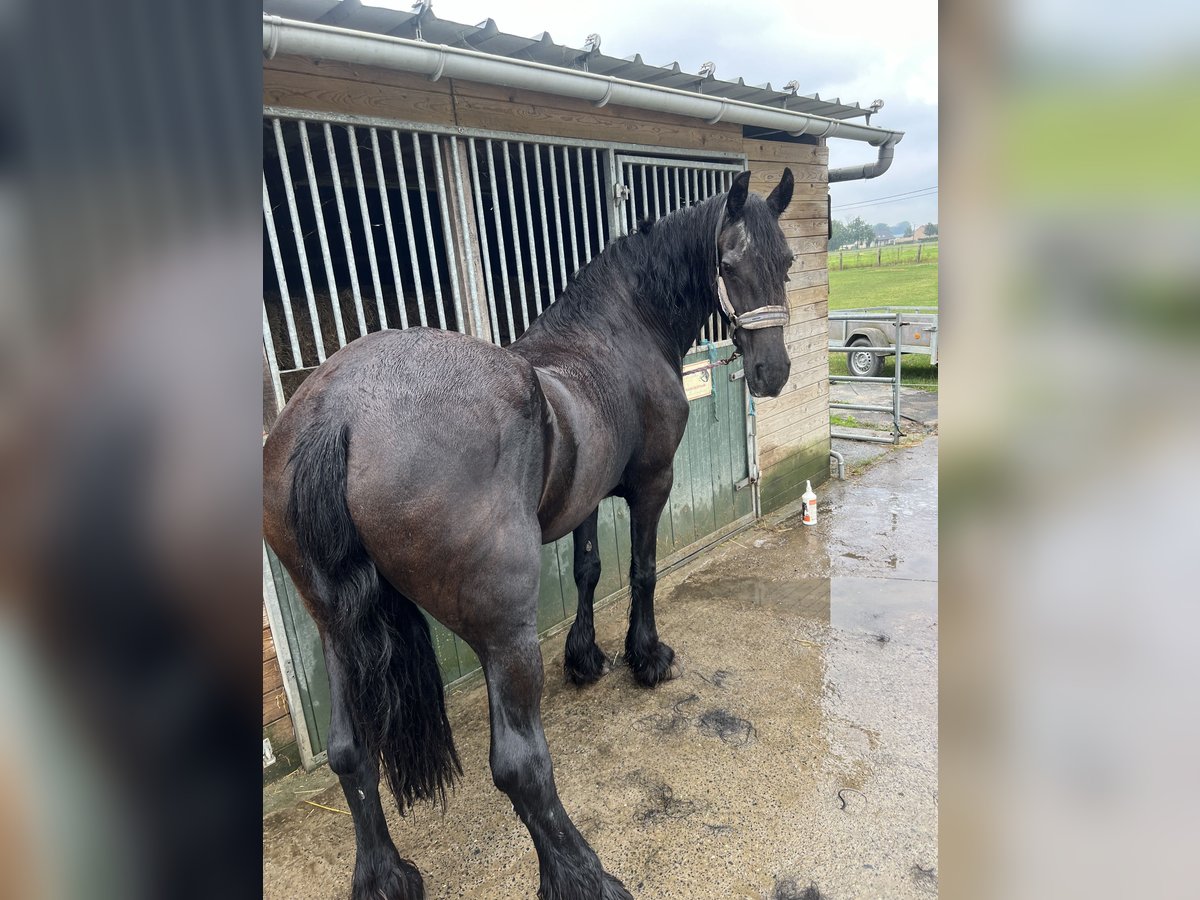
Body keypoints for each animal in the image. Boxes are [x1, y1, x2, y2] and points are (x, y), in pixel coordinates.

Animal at [267, 170, 801, 900]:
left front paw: (585, 659)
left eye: (788, 262)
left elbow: (587, 571)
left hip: (335, 628)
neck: (616, 335)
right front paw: (646, 657)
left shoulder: (584, 502)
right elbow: (640, 571)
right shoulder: (652, 485)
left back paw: (385, 876)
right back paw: (585, 876)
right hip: (503, 634)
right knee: (520, 765)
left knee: (351, 751)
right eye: (728, 263)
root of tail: (338, 412)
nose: (773, 373)